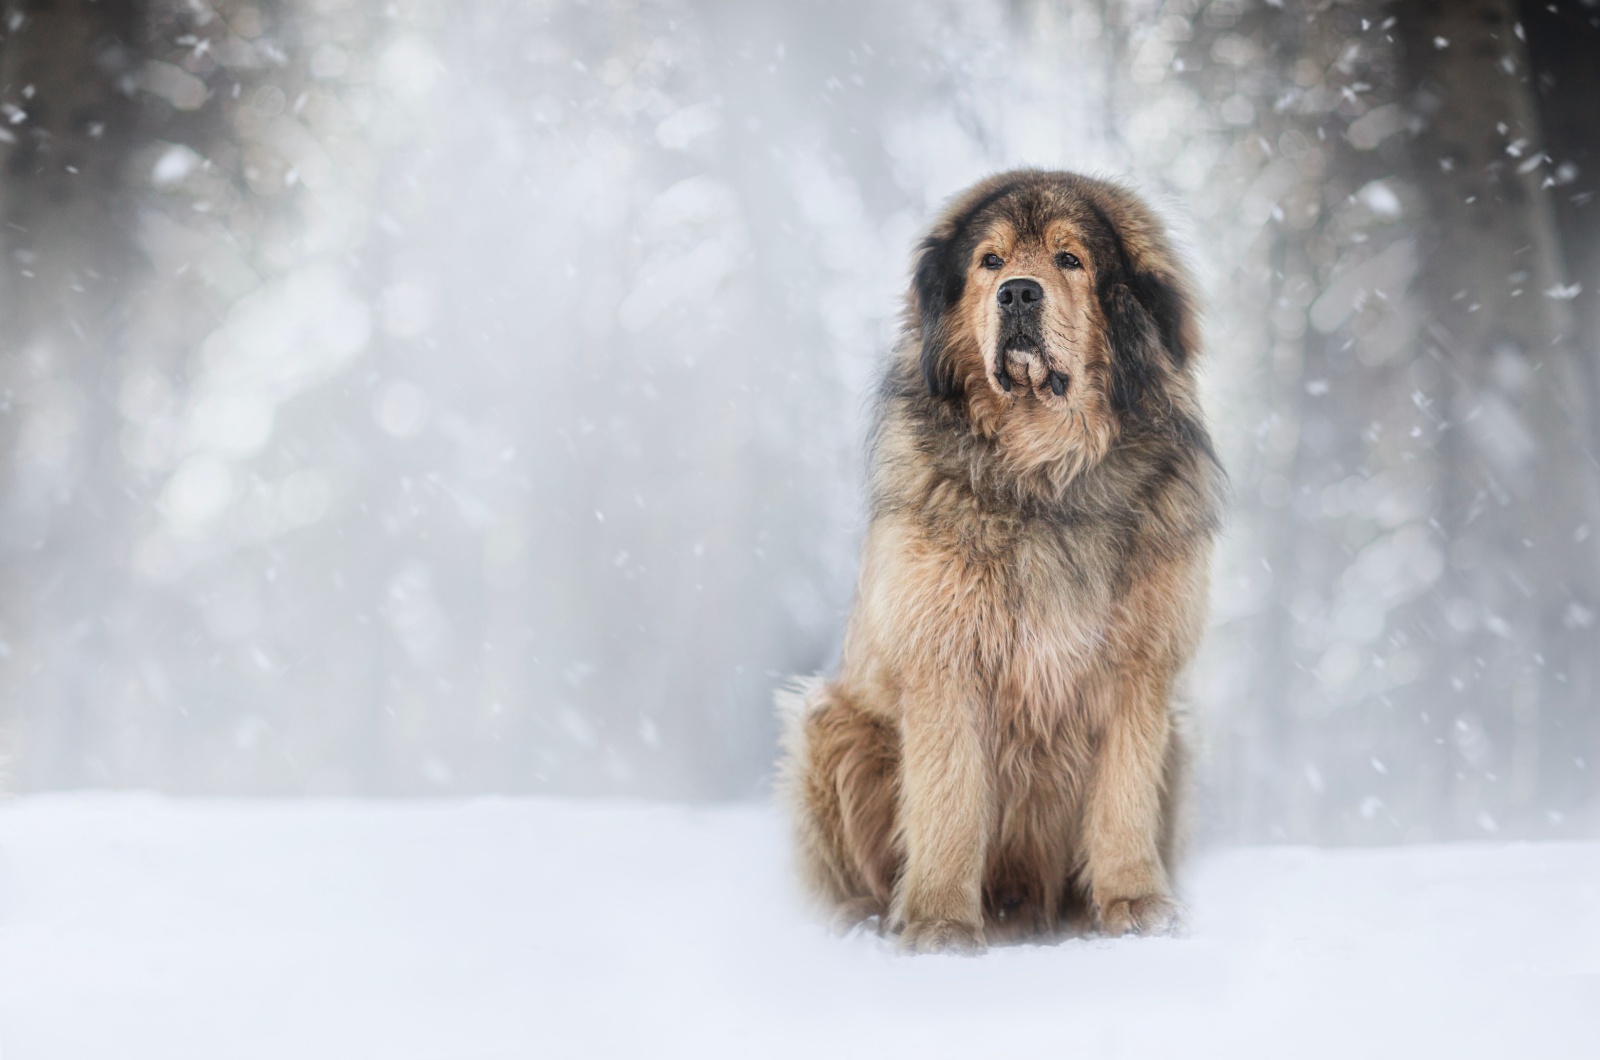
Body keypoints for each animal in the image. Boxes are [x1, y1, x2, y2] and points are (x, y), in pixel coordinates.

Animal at [780, 172, 1216, 954]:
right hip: (832, 725)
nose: (1018, 293)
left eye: (1071, 260)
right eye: (990, 261)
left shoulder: (1141, 668)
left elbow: (1124, 797)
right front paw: (940, 922)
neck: (1043, 471)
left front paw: (1135, 903)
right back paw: (862, 919)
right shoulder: (945, 659)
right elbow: (949, 800)